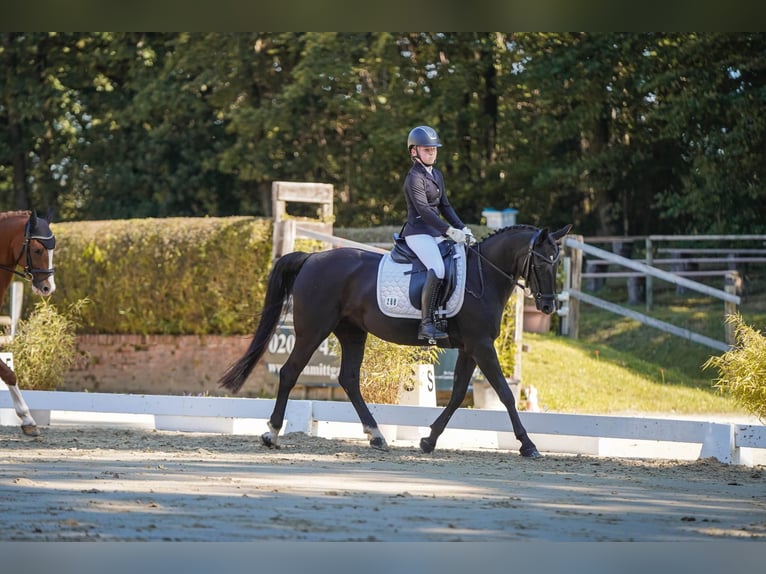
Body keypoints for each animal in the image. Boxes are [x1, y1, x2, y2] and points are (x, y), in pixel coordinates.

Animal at [0, 212, 57, 436]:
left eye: (53, 250)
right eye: (37, 249)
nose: (48, 288)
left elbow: (9, 373)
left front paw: (28, 420)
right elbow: (7, 371)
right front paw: (26, 417)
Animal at [219, 224, 572, 460]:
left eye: (558, 262)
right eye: (542, 262)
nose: (548, 307)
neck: (482, 275)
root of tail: (313, 257)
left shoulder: (470, 347)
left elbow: (459, 394)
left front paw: (429, 441)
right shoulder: (481, 345)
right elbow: (504, 393)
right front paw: (528, 444)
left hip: (352, 332)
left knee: (348, 379)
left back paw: (376, 435)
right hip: (313, 330)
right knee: (290, 372)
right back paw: (271, 433)